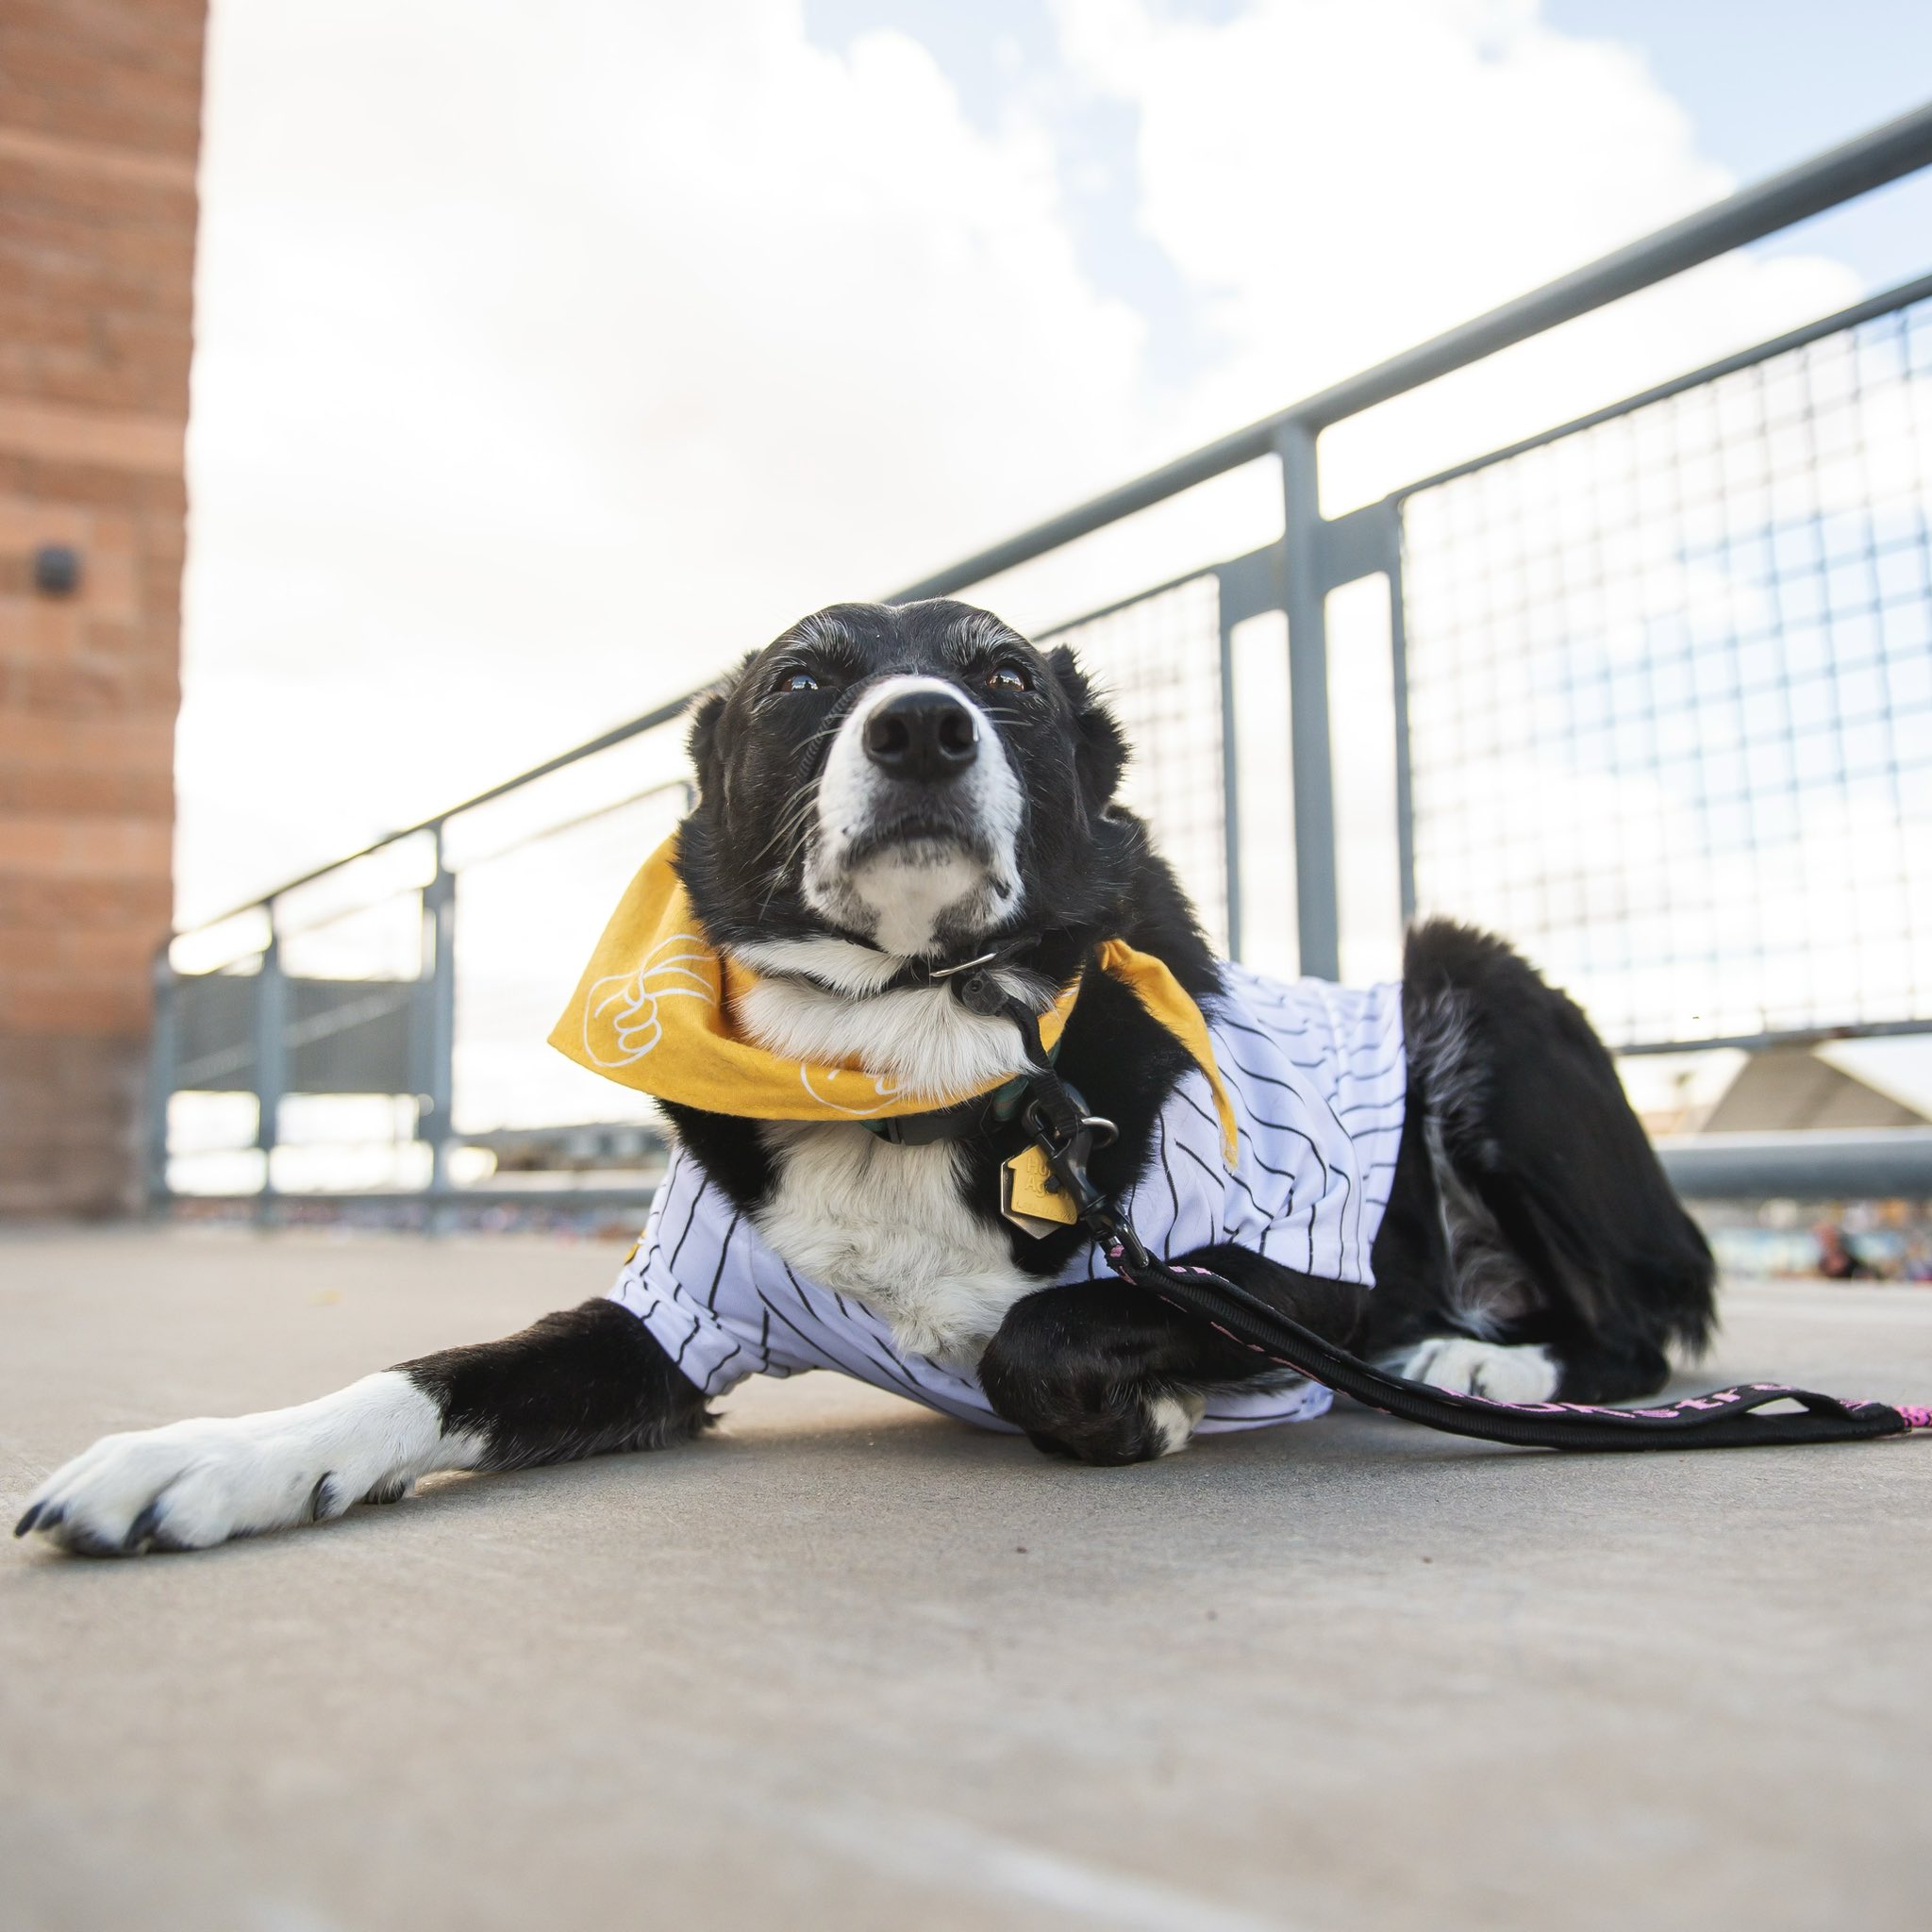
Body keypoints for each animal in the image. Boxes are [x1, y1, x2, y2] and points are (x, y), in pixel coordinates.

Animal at [11, 602, 1707, 1553]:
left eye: (1006, 677)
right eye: (802, 681)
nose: (920, 727)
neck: (904, 1067)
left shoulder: (1296, 1268)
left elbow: (1044, 1326)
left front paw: (1137, 1408)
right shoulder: (669, 1314)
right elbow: (430, 1375)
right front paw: (216, 1459)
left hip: (1472, 985)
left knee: (1633, 1328)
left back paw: (1485, 1367)